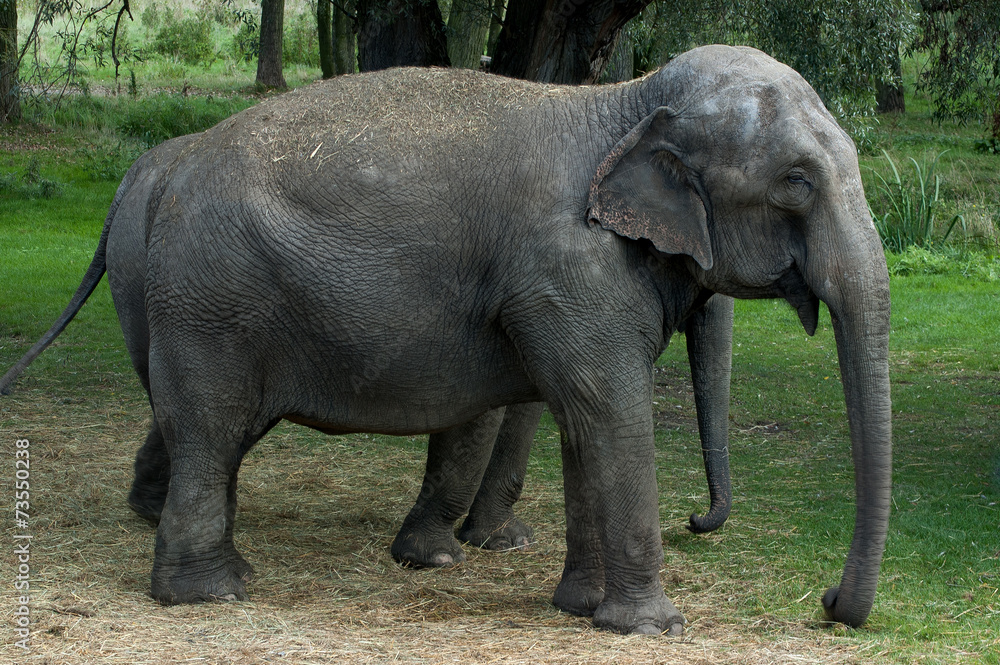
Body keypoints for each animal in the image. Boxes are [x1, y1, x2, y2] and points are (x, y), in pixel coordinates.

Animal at [0, 45, 892, 635]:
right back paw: (213, 593)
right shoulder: (563, 268)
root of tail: (165, 176)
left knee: (209, 432)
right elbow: (609, 408)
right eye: (796, 183)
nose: (826, 603)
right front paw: (652, 626)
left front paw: (578, 607)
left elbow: (582, 418)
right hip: (212, 300)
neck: (618, 101)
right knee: (212, 427)